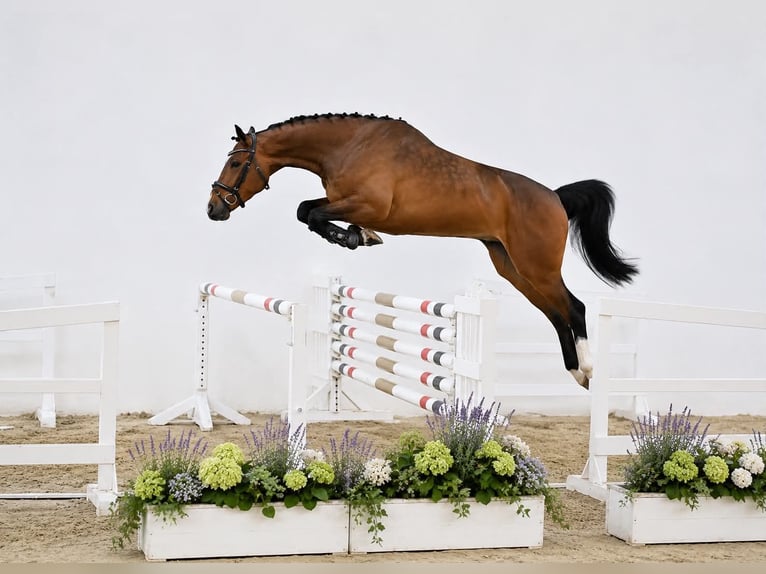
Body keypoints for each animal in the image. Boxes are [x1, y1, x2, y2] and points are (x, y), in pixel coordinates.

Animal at [207, 113, 638, 388]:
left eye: (235, 164)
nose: (213, 209)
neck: (349, 146)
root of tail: (555, 197)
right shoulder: (344, 201)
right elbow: (305, 211)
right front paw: (356, 236)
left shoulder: (368, 205)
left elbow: (311, 213)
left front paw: (356, 237)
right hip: (510, 266)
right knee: (555, 314)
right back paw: (576, 373)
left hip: (536, 266)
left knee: (574, 307)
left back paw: (588, 369)